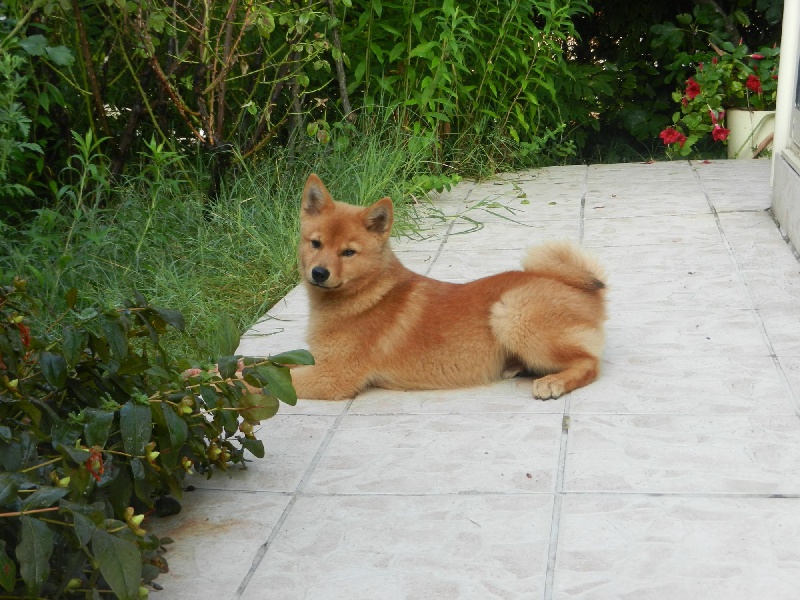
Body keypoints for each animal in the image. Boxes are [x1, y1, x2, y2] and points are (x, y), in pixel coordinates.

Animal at [286, 174, 607, 401]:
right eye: (316, 243)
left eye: (348, 253)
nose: (319, 273)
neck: (369, 294)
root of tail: (585, 291)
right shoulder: (317, 363)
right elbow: (278, 365)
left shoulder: (332, 376)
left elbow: (280, 383)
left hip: (511, 313)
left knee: (589, 363)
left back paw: (553, 382)